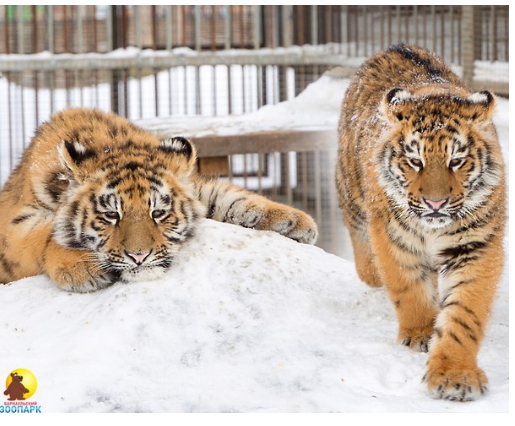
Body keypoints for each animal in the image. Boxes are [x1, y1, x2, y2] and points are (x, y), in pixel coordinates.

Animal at [0, 107, 318, 292]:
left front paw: (295, 221)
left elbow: (228, 197)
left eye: (158, 213)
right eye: (111, 215)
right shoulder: (14, 228)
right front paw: (81, 269)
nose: (139, 257)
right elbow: (46, 233)